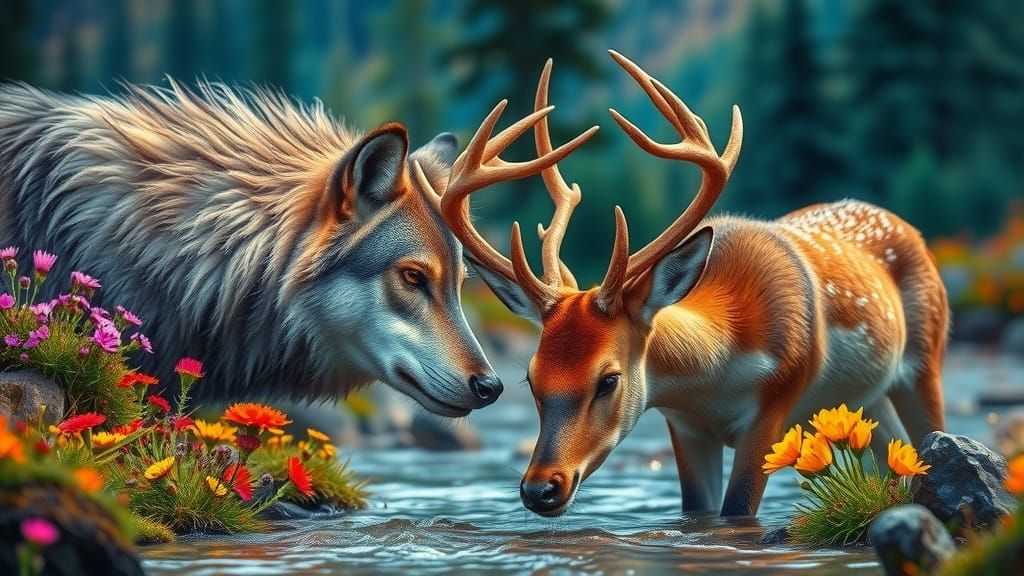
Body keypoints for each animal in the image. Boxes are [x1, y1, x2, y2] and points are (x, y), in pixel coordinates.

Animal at [421, 51, 949, 517]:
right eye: (531, 377)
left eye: (609, 379)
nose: (540, 490)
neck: (717, 373)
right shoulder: (685, 424)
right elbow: (696, 513)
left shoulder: (775, 404)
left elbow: (738, 511)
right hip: (869, 396)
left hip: (925, 360)